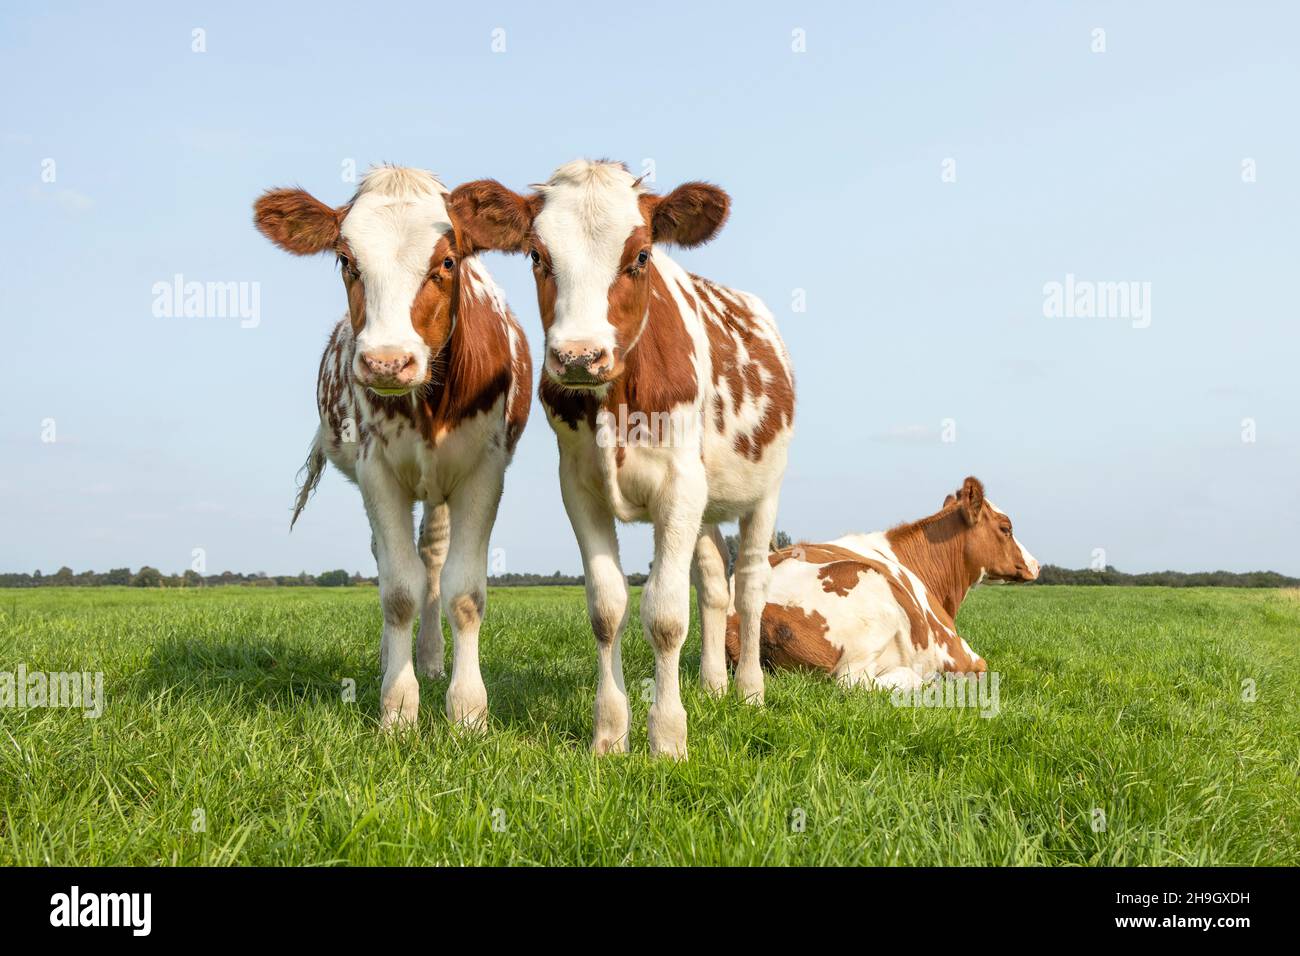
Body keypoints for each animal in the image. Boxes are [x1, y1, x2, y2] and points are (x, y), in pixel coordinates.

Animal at [253, 166, 527, 733]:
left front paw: (468, 710)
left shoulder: (484, 471)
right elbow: (399, 590)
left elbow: (463, 592)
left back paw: (432, 658)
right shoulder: (376, 469)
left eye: (447, 260)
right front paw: (398, 708)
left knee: (435, 559)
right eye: (345, 260)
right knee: (393, 560)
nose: (386, 362)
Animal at [447, 160, 790, 759]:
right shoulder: (580, 487)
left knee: (749, 588)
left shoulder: (679, 486)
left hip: (763, 490)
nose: (579, 356)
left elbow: (666, 615)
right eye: (537, 255)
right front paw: (609, 733)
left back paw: (750, 692)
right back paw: (713, 687)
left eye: (642, 256)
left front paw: (668, 737)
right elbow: (608, 610)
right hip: (705, 504)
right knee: (715, 584)